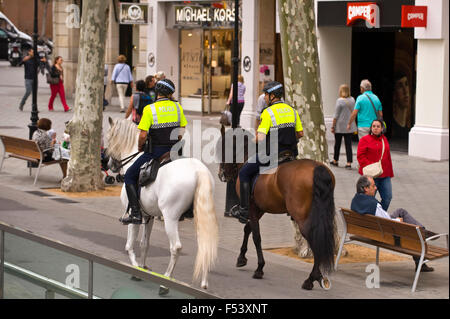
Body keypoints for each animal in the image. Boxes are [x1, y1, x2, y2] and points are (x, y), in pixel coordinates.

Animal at [105, 117, 218, 290]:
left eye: (109, 137)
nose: (110, 164)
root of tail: (199, 171)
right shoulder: (148, 216)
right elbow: (144, 244)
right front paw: (143, 267)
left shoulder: (134, 217)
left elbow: (129, 246)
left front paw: (136, 270)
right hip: (201, 216)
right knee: (205, 245)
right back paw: (204, 284)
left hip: (170, 218)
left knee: (176, 247)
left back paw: (165, 282)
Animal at [220, 126, 336, 292]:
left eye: (224, 147)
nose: (222, 174)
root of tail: (318, 169)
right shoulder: (259, 209)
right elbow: (248, 229)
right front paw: (241, 258)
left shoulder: (253, 209)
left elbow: (256, 237)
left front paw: (259, 268)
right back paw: (317, 276)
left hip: (303, 220)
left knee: (315, 241)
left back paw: (311, 278)